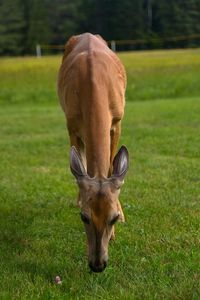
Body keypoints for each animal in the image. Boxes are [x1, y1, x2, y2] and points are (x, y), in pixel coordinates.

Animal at [57, 32, 129, 272]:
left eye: (113, 218)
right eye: (84, 217)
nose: (98, 265)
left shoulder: (117, 120)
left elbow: (110, 164)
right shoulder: (71, 123)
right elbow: (80, 163)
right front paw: (80, 199)